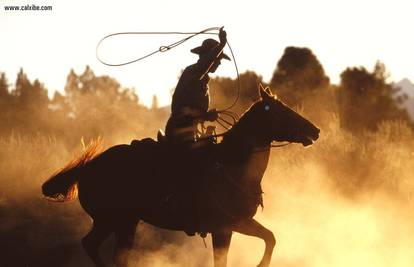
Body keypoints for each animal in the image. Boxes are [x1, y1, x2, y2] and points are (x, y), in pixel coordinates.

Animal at [42, 86, 320, 267]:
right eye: (282, 110)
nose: (315, 130)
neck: (233, 169)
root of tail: (89, 166)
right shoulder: (223, 228)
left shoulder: (240, 223)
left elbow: (270, 238)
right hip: (110, 220)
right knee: (91, 245)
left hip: (126, 223)